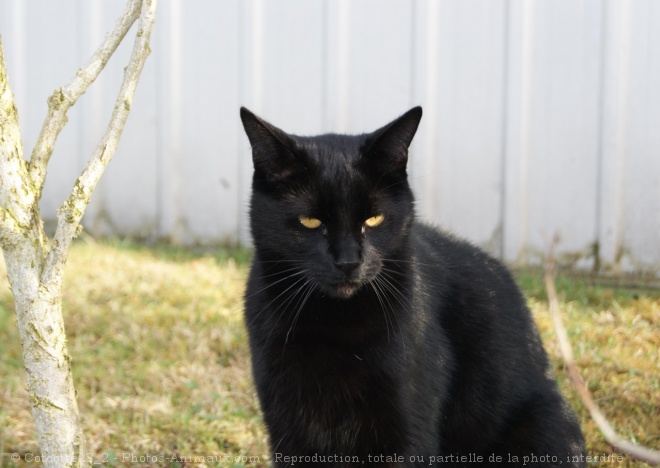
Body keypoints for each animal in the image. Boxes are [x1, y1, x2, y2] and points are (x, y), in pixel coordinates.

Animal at [240, 108, 584, 466]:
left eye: (374, 219)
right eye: (310, 222)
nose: (349, 261)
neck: (332, 325)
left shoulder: (407, 432)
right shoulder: (288, 428)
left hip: (545, 427)